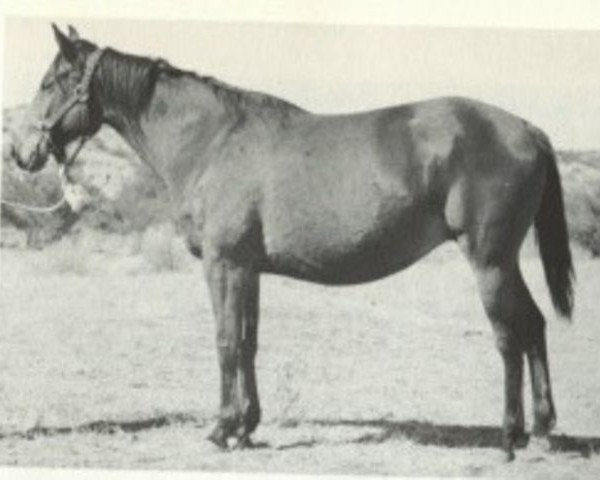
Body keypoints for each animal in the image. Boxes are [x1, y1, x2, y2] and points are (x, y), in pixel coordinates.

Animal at [11, 24, 576, 460]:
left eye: (50, 82)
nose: (22, 152)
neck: (212, 141)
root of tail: (527, 129)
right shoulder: (249, 269)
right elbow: (248, 342)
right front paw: (247, 428)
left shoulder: (223, 264)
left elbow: (225, 341)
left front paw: (221, 429)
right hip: (506, 262)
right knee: (534, 327)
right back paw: (542, 431)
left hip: (489, 260)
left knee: (509, 337)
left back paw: (508, 437)